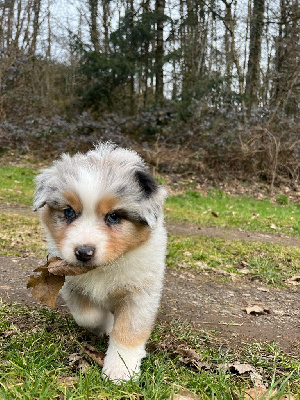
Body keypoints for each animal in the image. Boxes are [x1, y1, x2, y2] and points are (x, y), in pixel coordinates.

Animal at [34, 142, 169, 382]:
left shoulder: (140, 293)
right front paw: (106, 324)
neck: (106, 266)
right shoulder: (71, 284)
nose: (83, 252)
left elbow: (128, 332)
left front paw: (121, 372)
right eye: (69, 212)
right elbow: (88, 316)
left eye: (114, 216)